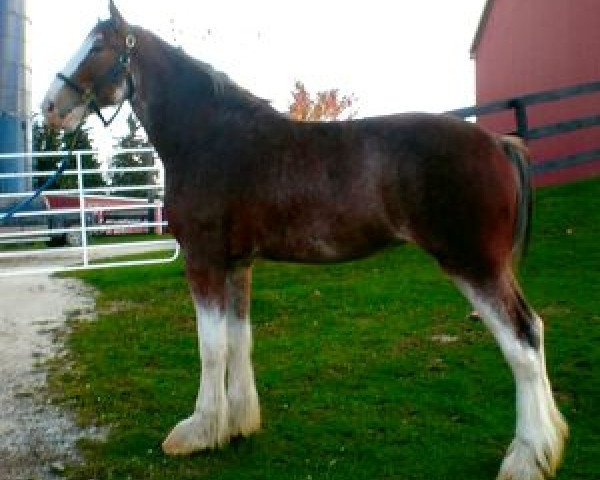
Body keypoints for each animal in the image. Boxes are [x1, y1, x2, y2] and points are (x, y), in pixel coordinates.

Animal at [42, 1, 568, 478]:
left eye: (96, 47)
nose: (50, 108)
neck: (210, 137)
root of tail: (499, 142)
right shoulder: (238, 265)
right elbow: (239, 340)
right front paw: (238, 424)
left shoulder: (204, 260)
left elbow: (211, 347)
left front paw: (199, 431)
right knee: (536, 330)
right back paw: (548, 446)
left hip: (473, 265)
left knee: (521, 343)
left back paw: (525, 458)